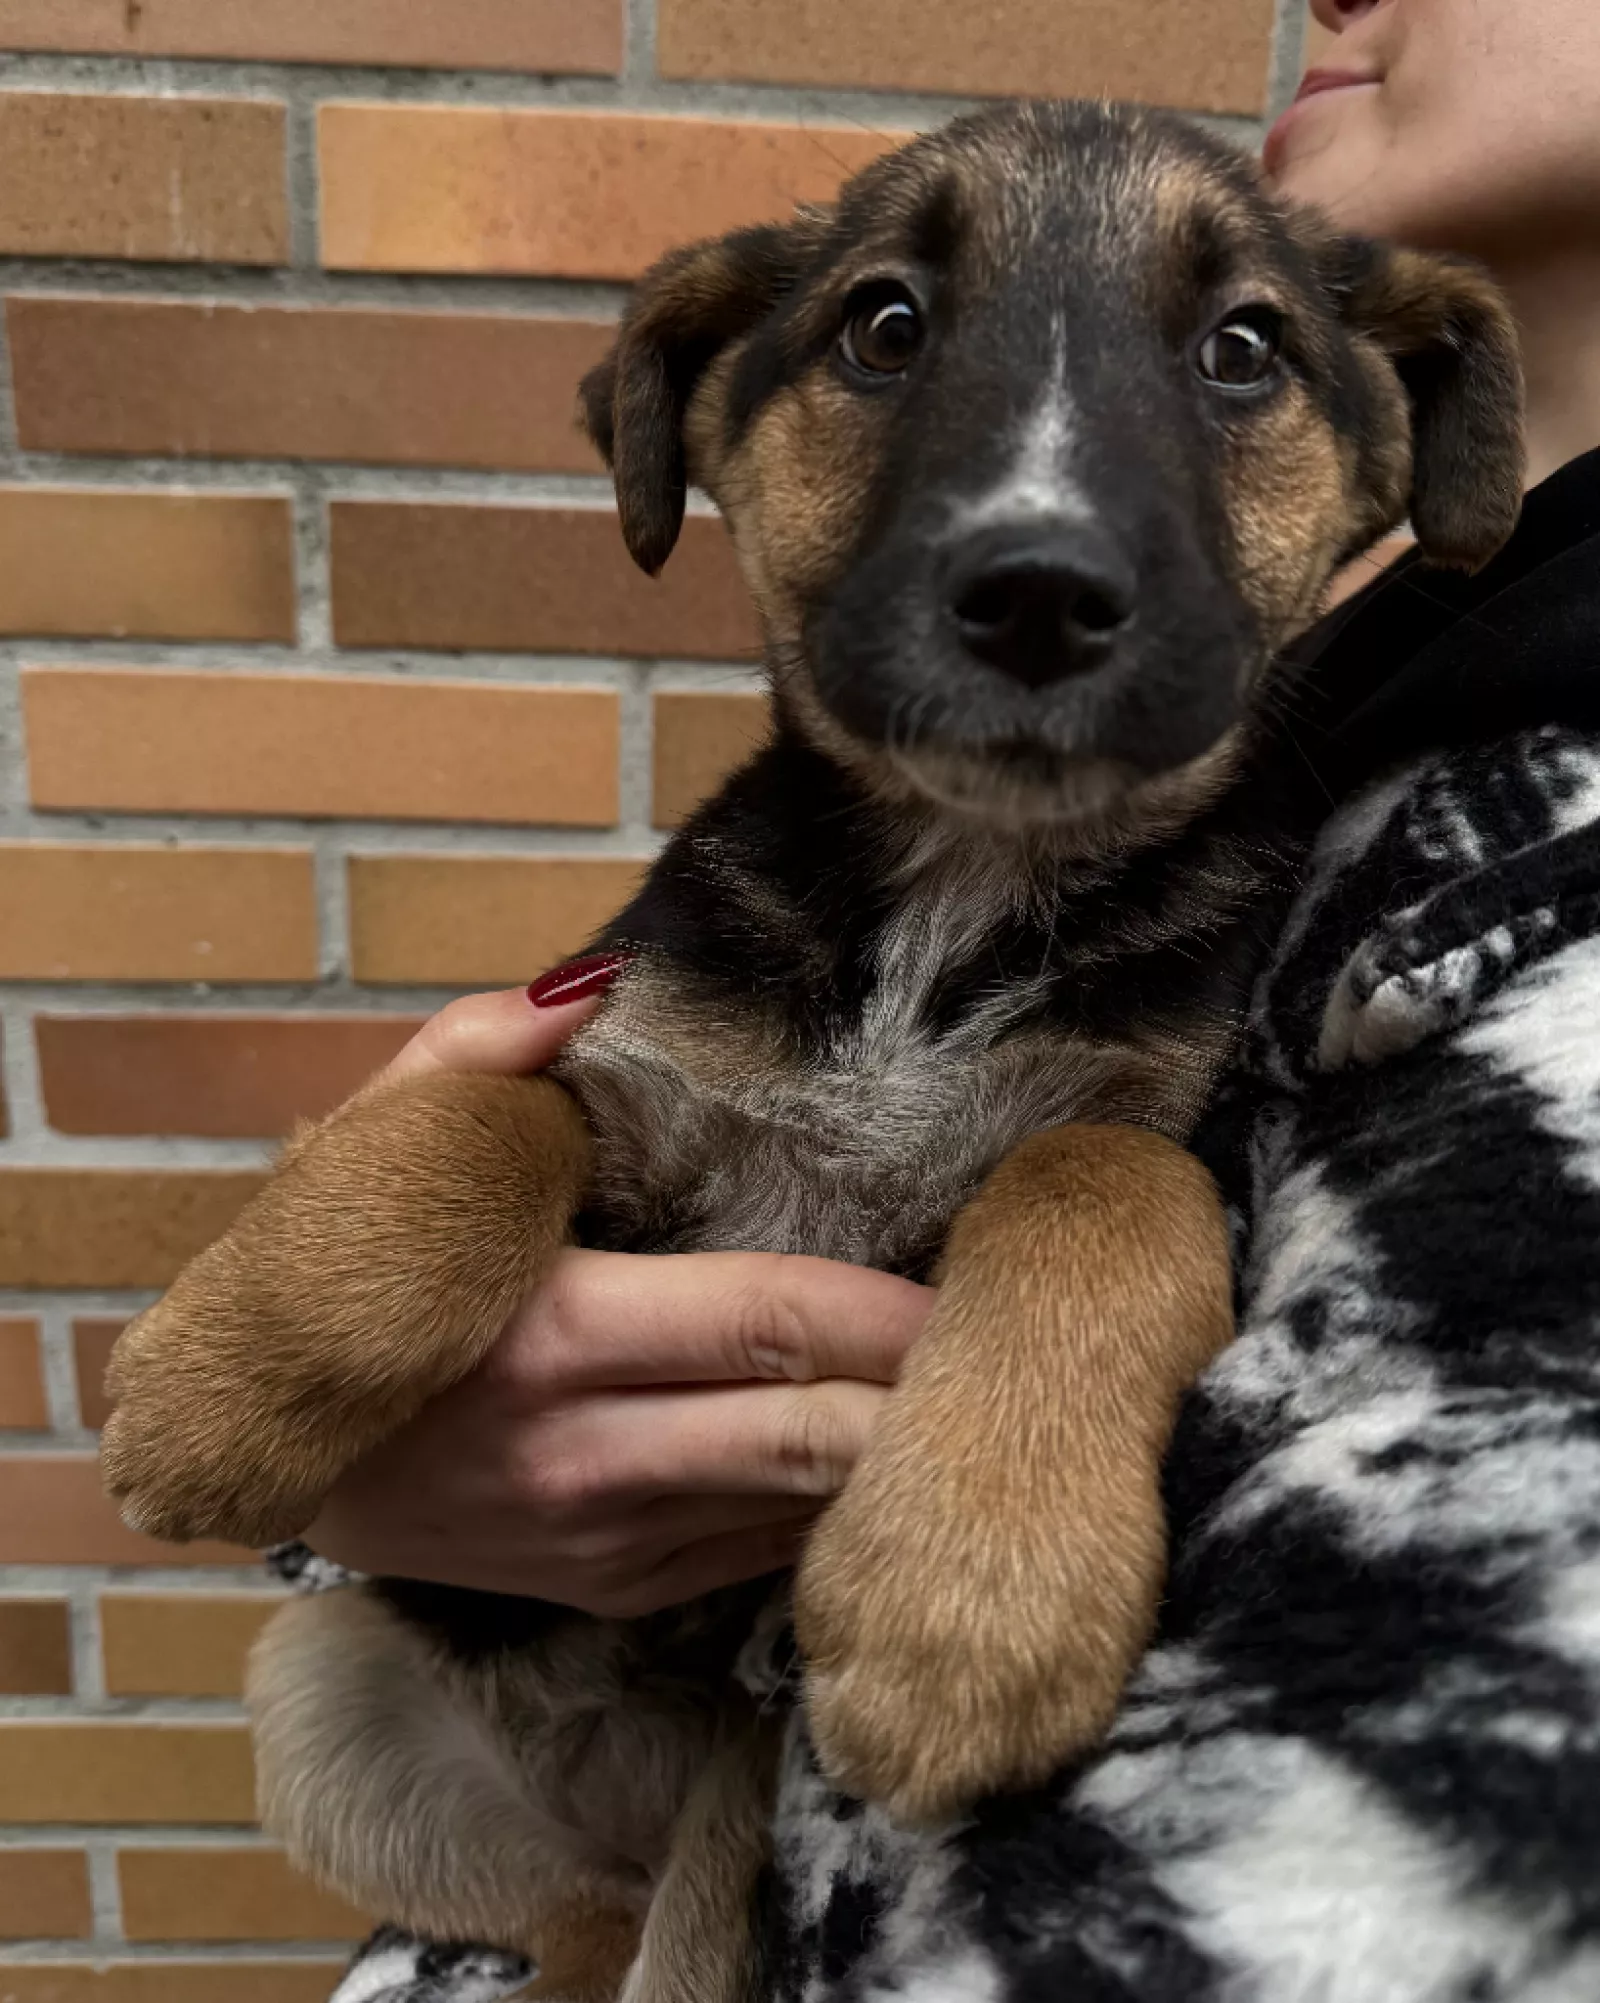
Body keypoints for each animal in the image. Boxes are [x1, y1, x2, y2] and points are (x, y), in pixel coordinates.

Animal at [100, 98, 1522, 2003]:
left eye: (1245, 351)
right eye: (884, 325)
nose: (1039, 590)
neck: (953, 878)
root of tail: (610, 1781)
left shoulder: (1157, 1125)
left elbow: (1099, 1179)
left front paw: (972, 1596)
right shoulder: (622, 1062)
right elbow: (480, 1117)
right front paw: (222, 1378)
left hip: (714, 1797)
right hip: (320, 1698)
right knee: (566, 1911)